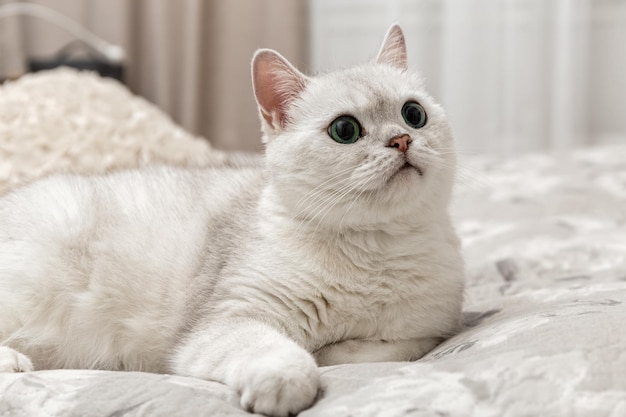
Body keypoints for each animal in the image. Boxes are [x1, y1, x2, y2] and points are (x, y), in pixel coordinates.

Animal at [0, 26, 464, 416]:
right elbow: (283, 352)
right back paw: (14, 361)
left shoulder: (425, 332)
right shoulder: (225, 321)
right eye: (345, 130)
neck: (373, 253)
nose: (401, 140)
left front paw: (331, 350)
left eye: (413, 114)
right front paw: (289, 378)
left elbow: (382, 348)